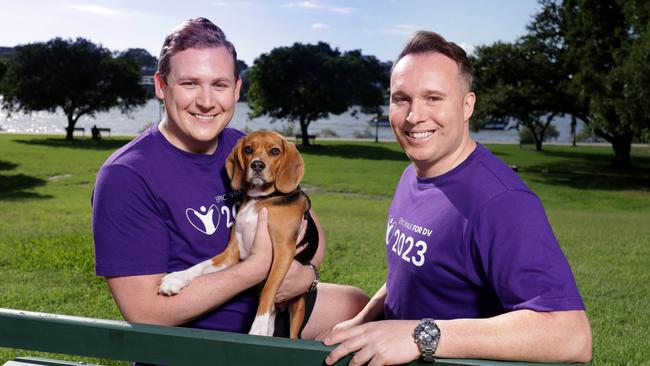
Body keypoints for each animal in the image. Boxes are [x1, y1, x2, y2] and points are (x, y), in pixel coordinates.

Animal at [159, 130, 316, 338]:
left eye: (275, 151)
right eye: (248, 149)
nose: (257, 165)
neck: (260, 199)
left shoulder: (284, 251)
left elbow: (268, 289)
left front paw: (257, 327)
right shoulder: (232, 253)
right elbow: (201, 265)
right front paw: (176, 278)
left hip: (298, 309)